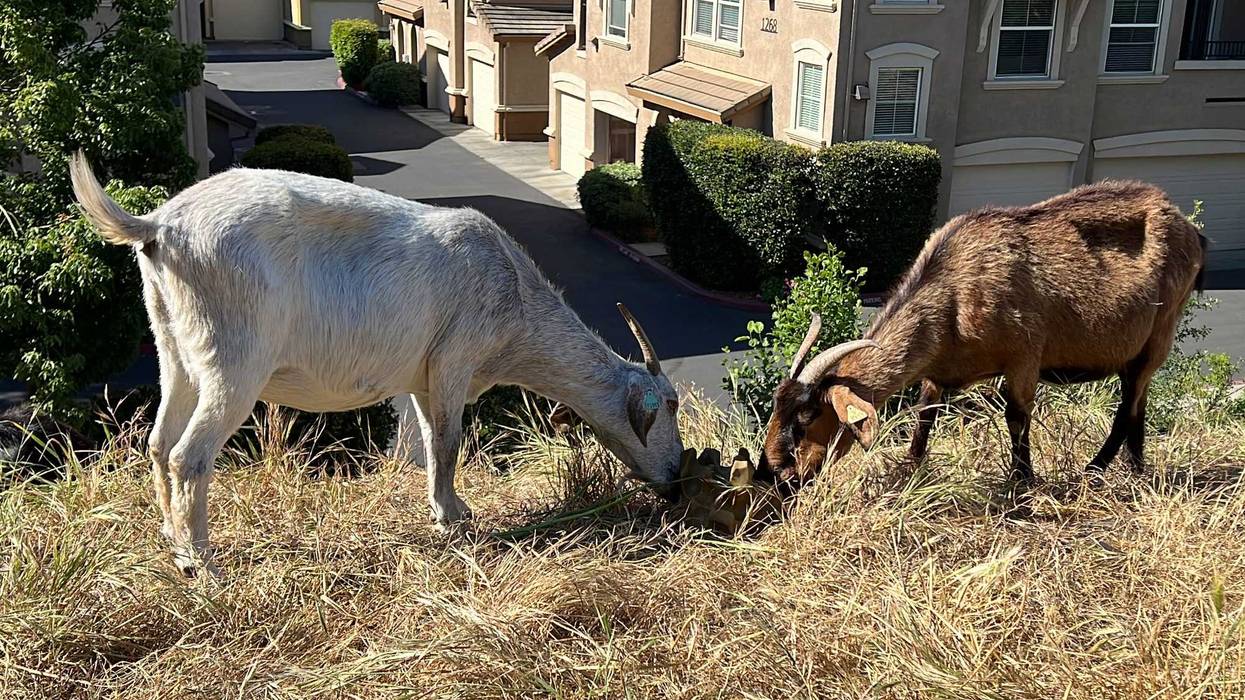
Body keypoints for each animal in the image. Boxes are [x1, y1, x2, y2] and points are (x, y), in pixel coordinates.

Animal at [69, 153, 684, 576]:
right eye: (671, 406)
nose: (676, 479)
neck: (515, 293)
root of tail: (159, 227)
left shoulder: (423, 376)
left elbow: (430, 440)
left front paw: (446, 507)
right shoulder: (456, 359)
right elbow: (450, 442)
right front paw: (454, 519)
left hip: (174, 345)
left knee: (157, 442)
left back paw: (172, 541)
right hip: (233, 355)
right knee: (188, 454)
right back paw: (202, 563)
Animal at [758, 181, 1206, 488]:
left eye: (808, 417)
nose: (778, 470)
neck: (953, 293)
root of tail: (1190, 230)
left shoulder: (1025, 355)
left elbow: (1017, 416)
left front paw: (1022, 482)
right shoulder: (938, 372)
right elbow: (925, 415)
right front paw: (908, 469)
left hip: (1160, 333)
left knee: (1127, 406)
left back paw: (1093, 470)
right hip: (1137, 351)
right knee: (1138, 404)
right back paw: (1136, 468)